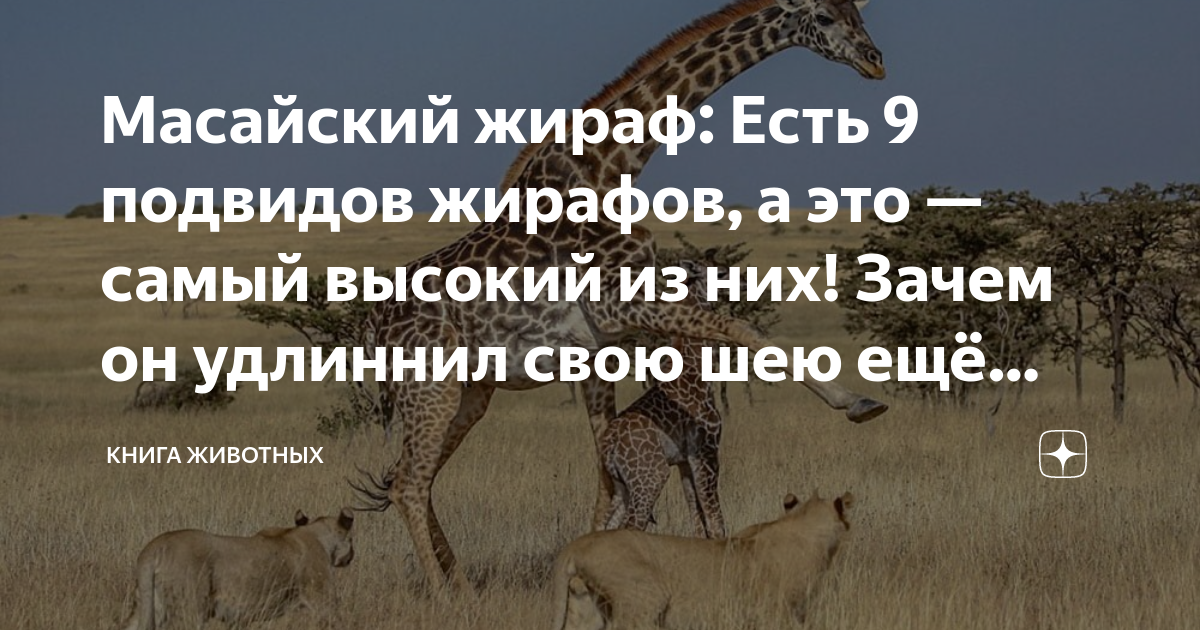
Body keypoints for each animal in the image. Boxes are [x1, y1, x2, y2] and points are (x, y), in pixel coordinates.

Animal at [599, 259, 738, 539]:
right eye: (720, 273)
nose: (741, 282)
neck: (695, 369)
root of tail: (609, 444)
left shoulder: (684, 460)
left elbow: (698, 521)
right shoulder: (706, 449)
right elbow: (715, 520)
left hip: (621, 485)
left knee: (603, 526)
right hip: (651, 476)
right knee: (632, 525)